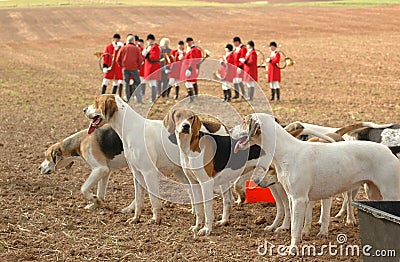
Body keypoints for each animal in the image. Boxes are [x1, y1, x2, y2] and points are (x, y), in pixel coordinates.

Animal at [233, 113, 400, 252]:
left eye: (244, 121)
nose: (230, 129)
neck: (287, 152)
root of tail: (389, 150)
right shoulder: (292, 198)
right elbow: (294, 224)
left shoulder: (299, 199)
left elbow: (295, 228)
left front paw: (292, 250)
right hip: (373, 193)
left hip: (389, 194)